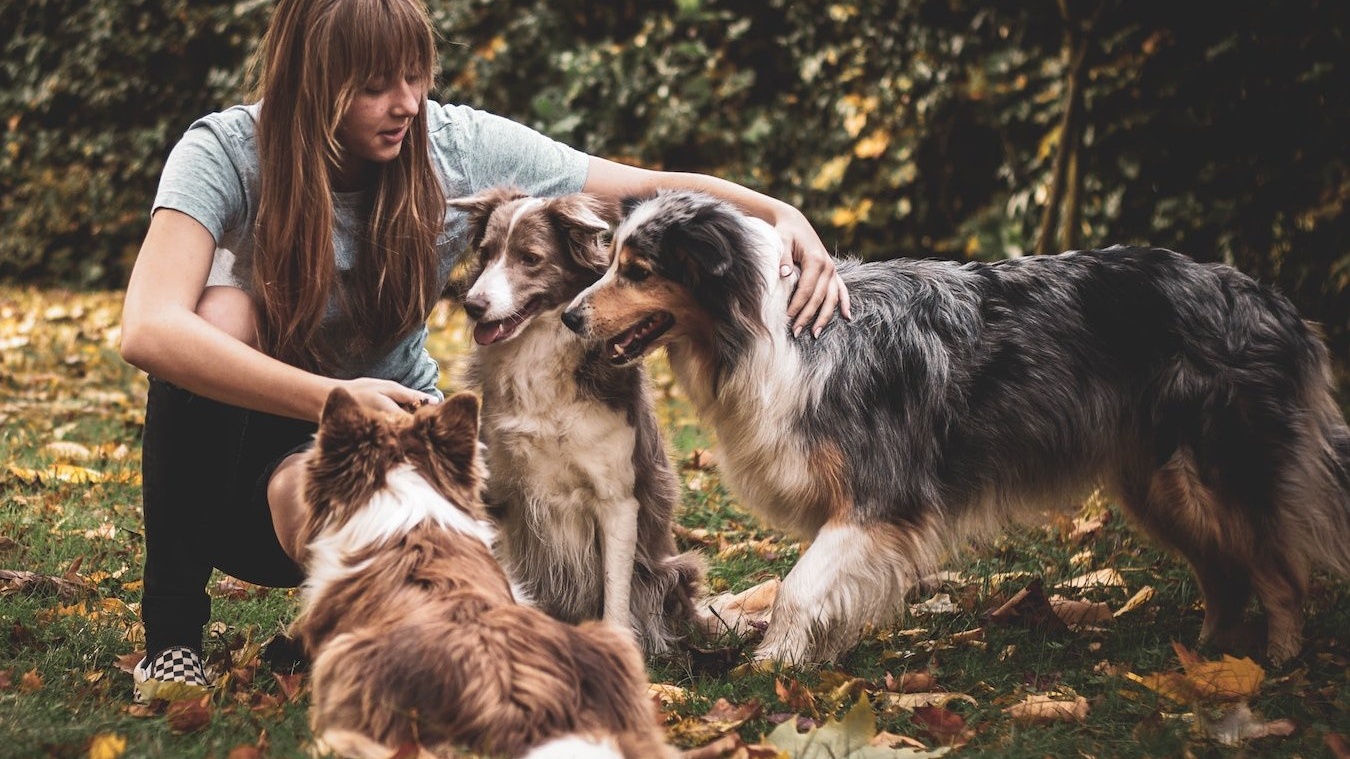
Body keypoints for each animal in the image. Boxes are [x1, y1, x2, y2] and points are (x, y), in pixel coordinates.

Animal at [450, 186, 707, 653]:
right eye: (486, 252)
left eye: (530, 258)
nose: (473, 306)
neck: (536, 357)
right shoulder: (500, 495)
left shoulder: (617, 500)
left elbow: (615, 594)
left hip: (670, 569)